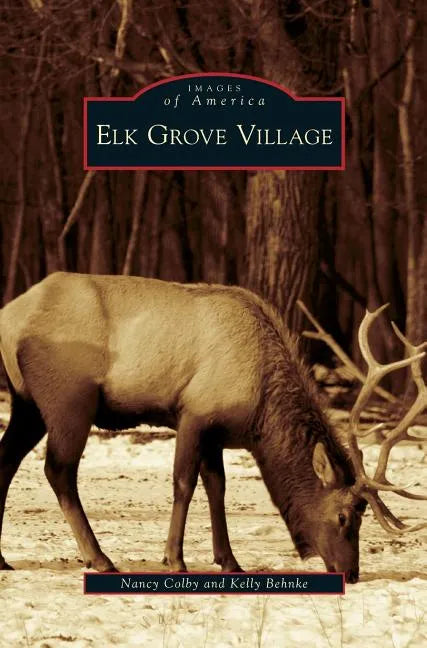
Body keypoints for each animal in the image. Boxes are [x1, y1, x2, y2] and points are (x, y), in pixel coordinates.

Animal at [0, 272, 425, 583]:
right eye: (344, 517)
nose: (351, 573)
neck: (258, 415)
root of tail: (9, 317)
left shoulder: (217, 433)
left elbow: (217, 486)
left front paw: (229, 559)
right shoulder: (194, 411)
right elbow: (184, 484)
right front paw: (175, 559)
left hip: (27, 404)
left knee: (9, 461)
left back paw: (4, 559)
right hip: (69, 398)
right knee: (58, 470)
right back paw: (100, 558)